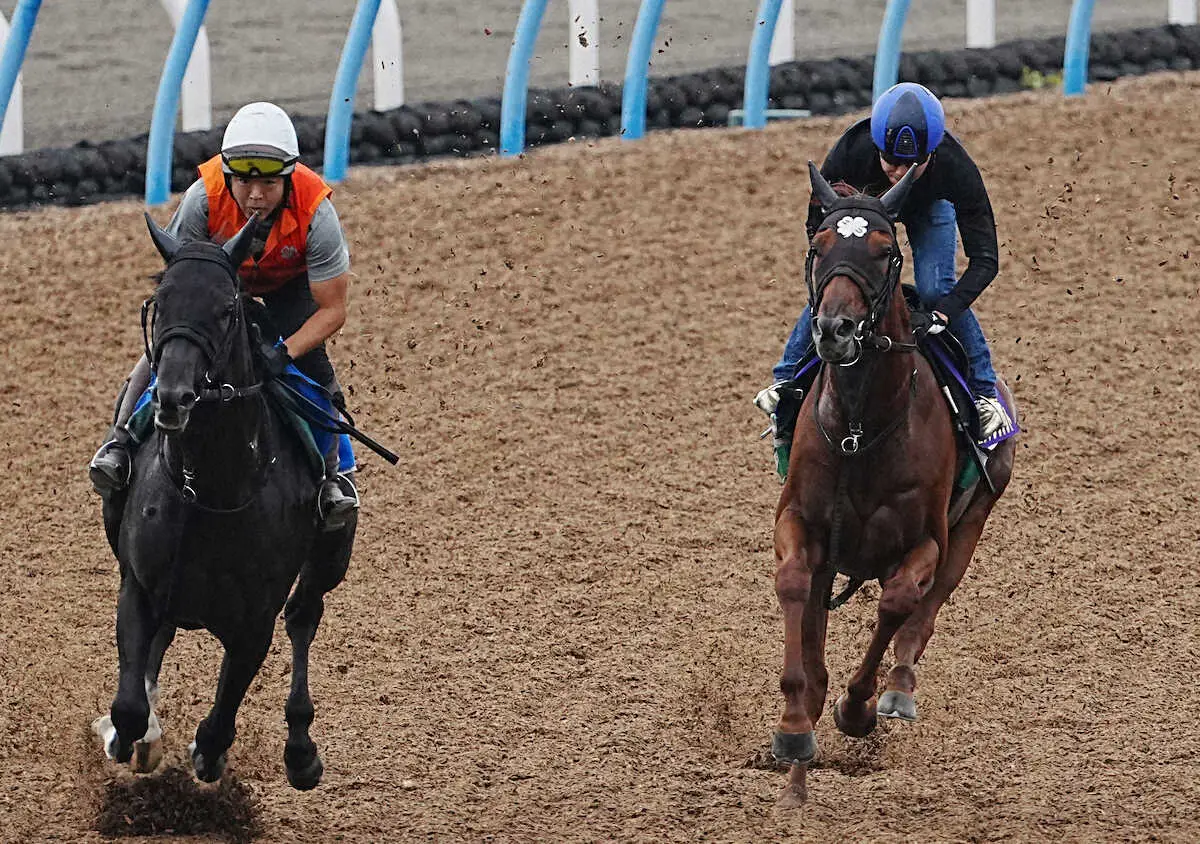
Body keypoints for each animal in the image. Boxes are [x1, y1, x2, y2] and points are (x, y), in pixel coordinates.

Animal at [93, 212, 355, 792]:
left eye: (226, 309)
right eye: (161, 301)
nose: (173, 396)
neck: (210, 492)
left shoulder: (255, 620)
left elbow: (221, 718)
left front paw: (207, 754)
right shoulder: (140, 586)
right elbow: (129, 705)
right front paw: (131, 738)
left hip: (330, 556)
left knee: (305, 616)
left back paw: (301, 750)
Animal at [772, 163, 1017, 806]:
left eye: (885, 251)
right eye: (819, 245)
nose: (834, 329)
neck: (860, 430)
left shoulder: (924, 541)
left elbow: (899, 603)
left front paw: (858, 708)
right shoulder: (802, 523)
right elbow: (793, 590)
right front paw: (793, 733)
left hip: (976, 513)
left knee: (927, 608)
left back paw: (898, 688)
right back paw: (798, 778)